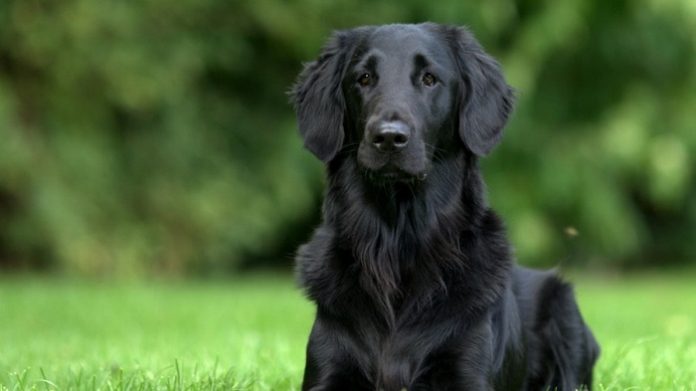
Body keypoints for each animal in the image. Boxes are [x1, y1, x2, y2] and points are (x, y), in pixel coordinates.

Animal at [290, 23, 600, 390]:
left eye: (429, 78)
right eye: (363, 78)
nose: (389, 137)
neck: (397, 243)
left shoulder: (469, 372)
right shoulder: (328, 368)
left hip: (565, 316)